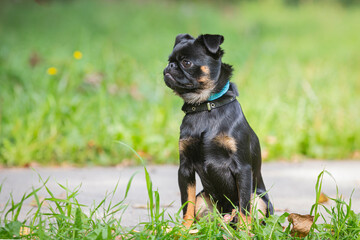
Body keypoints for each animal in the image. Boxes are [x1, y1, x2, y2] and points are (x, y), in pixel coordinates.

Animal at [163, 33, 272, 227]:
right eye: (170, 61)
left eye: (186, 62)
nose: (170, 66)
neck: (205, 106)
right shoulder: (185, 169)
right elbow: (187, 204)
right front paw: (184, 229)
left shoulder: (242, 168)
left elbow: (244, 206)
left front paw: (244, 231)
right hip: (203, 199)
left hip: (259, 199)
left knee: (247, 209)